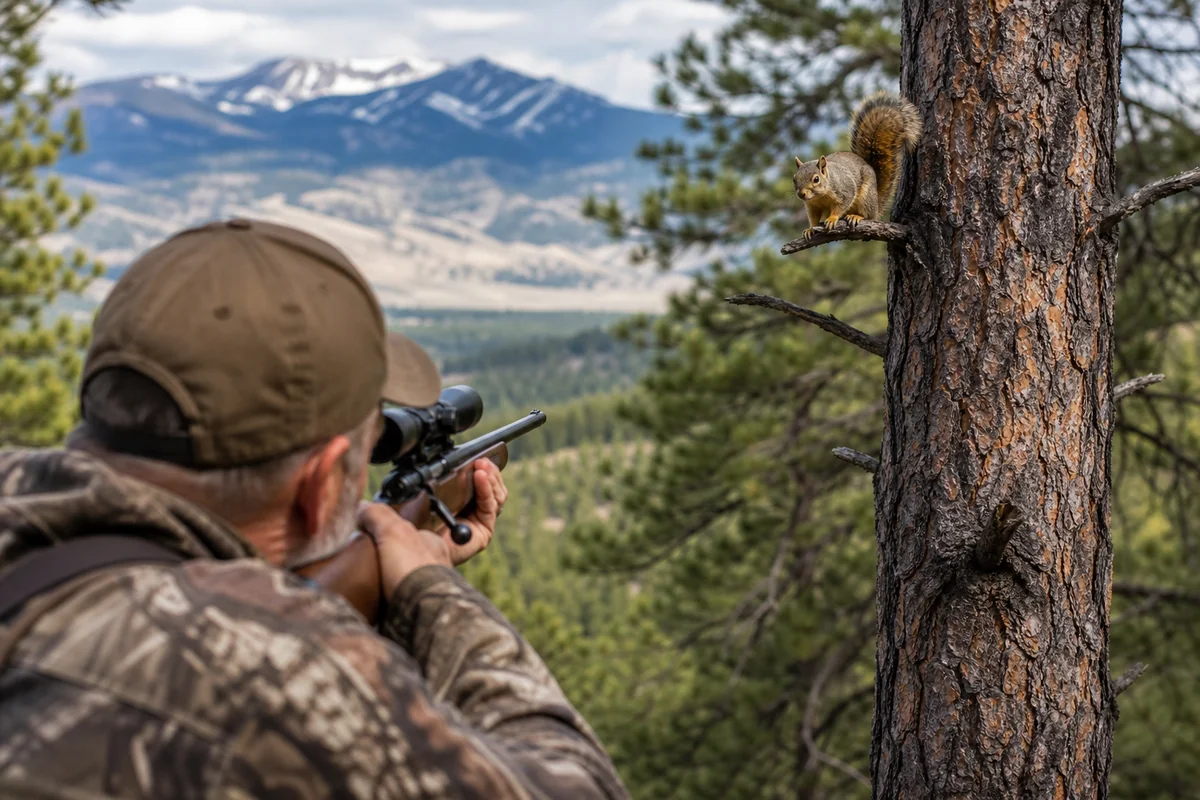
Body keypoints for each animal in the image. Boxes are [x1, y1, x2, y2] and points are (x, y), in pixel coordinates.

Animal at [792, 92, 922, 241]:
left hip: (866, 197)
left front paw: (832, 218)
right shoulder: (812, 206)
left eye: (816, 179)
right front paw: (810, 229)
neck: (820, 196)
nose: (801, 194)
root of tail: (877, 207)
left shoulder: (845, 190)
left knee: (868, 216)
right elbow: (813, 218)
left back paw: (856, 216)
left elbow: (841, 206)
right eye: (794, 179)